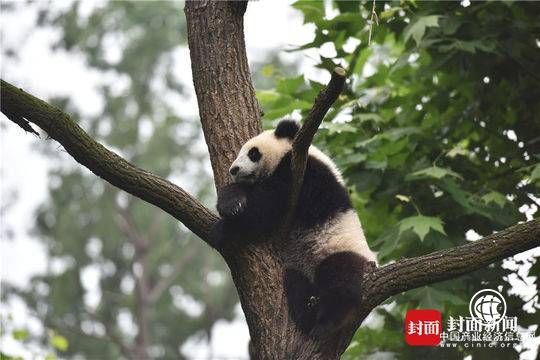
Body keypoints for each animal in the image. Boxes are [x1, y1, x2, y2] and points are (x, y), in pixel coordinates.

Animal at [211, 119, 376, 336]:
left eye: (253, 153)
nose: (234, 170)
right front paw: (230, 203)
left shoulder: (303, 174)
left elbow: (267, 205)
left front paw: (224, 228)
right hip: (296, 268)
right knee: (296, 285)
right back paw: (306, 314)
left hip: (338, 249)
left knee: (339, 279)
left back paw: (325, 322)